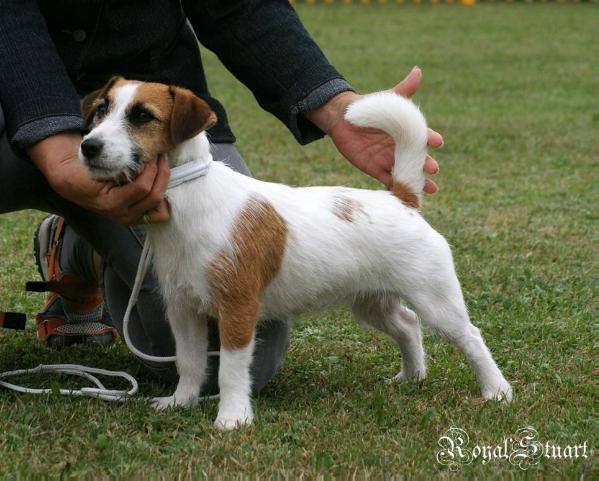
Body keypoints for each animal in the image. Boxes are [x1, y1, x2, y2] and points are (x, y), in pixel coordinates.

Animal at [77, 77, 512, 430]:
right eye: (101, 110)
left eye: (142, 116)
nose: (88, 146)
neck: (189, 197)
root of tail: (402, 198)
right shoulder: (183, 311)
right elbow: (190, 362)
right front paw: (181, 402)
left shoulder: (238, 310)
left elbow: (231, 370)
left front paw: (232, 418)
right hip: (372, 303)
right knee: (407, 325)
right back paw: (411, 376)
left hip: (435, 298)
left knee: (470, 337)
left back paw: (496, 391)